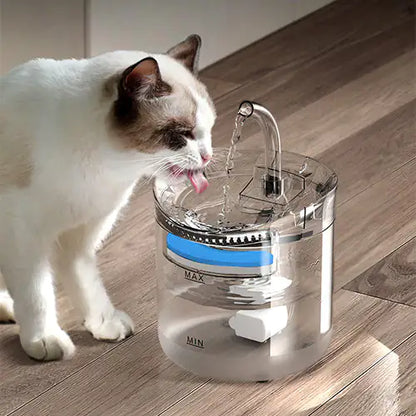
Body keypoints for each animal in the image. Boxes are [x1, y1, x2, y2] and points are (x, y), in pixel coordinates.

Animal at [0, 35, 214, 360]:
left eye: (209, 130)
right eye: (181, 135)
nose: (207, 156)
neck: (104, 170)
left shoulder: (80, 236)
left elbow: (87, 284)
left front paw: (104, 324)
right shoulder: (23, 237)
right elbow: (36, 293)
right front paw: (44, 339)